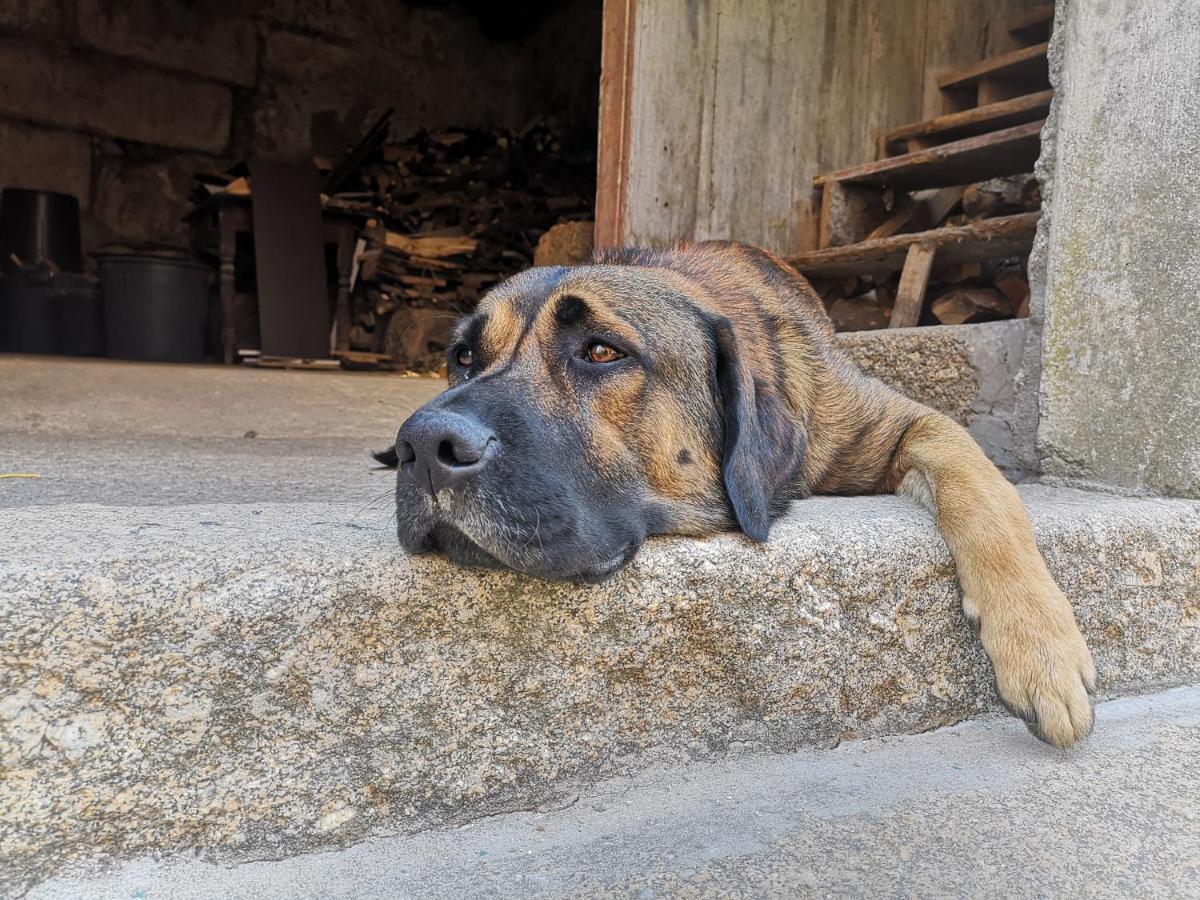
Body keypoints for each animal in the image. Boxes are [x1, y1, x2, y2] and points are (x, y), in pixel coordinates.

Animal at [376, 243, 1099, 748]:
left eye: (601, 351)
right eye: (464, 358)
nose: (423, 444)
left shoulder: (904, 422)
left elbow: (987, 493)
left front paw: (1042, 649)